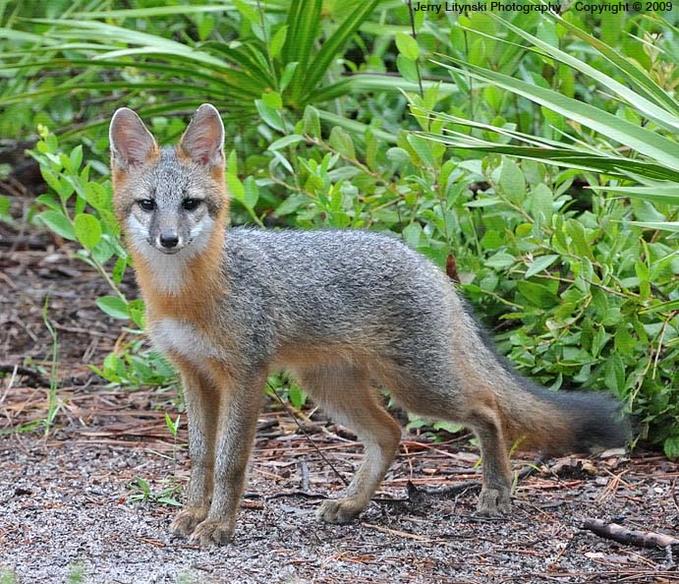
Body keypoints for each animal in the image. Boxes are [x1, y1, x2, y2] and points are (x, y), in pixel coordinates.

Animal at [110, 104, 628, 548]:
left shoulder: (245, 376)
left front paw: (219, 526)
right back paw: (353, 504)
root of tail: (426, 261)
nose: (169, 239)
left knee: (488, 409)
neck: (186, 295)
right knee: (389, 433)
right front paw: (194, 514)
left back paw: (497, 489)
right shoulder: (194, 374)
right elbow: (201, 455)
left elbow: (230, 460)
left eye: (190, 204)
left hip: (421, 388)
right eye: (148, 205)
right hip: (332, 388)